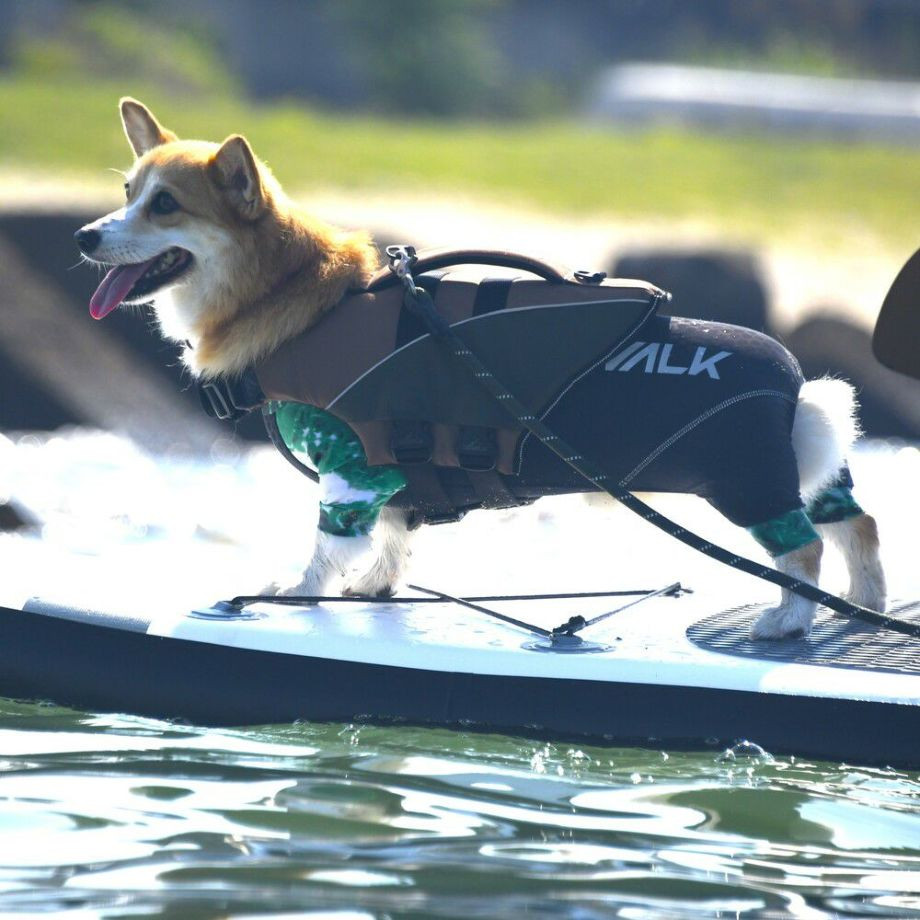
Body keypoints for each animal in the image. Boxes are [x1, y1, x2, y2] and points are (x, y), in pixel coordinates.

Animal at [75, 97, 888, 636]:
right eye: (126, 195)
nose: (84, 235)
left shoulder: (349, 465)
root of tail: (793, 385)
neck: (296, 297)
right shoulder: (390, 473)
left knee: (804, 548)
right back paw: (867, 609)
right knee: (861, 525)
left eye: (166, 207)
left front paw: (294, 591)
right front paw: (375, 586)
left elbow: (327, 546)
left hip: (742, 481)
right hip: (803, 474)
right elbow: (395, 535)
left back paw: (788, 621)